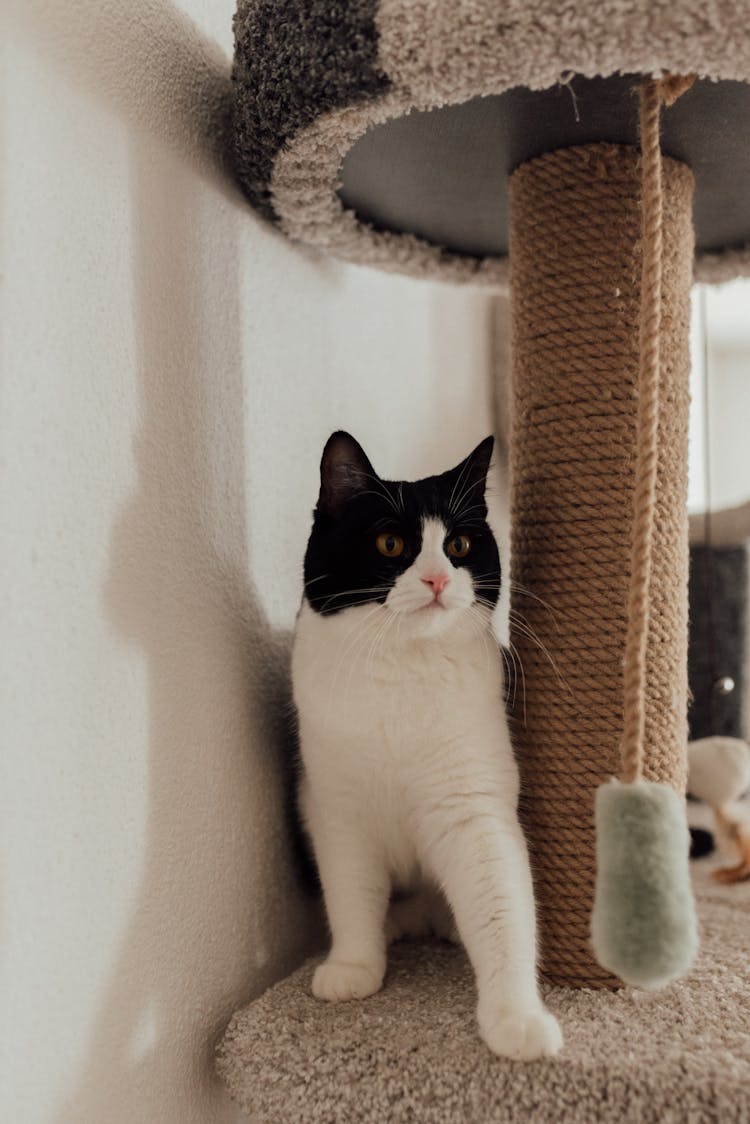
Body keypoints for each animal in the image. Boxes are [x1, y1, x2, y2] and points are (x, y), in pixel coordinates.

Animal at [292, 429, 562, 1061]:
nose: (438, 580)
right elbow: (349, 889)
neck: (402, 670)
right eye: (391, 543)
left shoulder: (473, 809)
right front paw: (353, 967)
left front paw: (517, 1020)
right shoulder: (338, 811)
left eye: (459, 544)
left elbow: (502, 905)